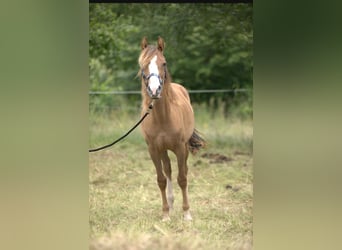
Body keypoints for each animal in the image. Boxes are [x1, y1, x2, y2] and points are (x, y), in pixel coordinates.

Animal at [137, 36, 206, 222]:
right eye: (143, 65)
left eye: (164, 63)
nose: (154, 90)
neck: (162, 118)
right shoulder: (153, 149)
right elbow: (161, 179)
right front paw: (165, 214)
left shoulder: (181, 148)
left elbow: (182, 178)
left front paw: (187, 214)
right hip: (163, 150)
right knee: (167, 169)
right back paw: (171, 203)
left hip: (183, 149)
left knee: (184, 172)